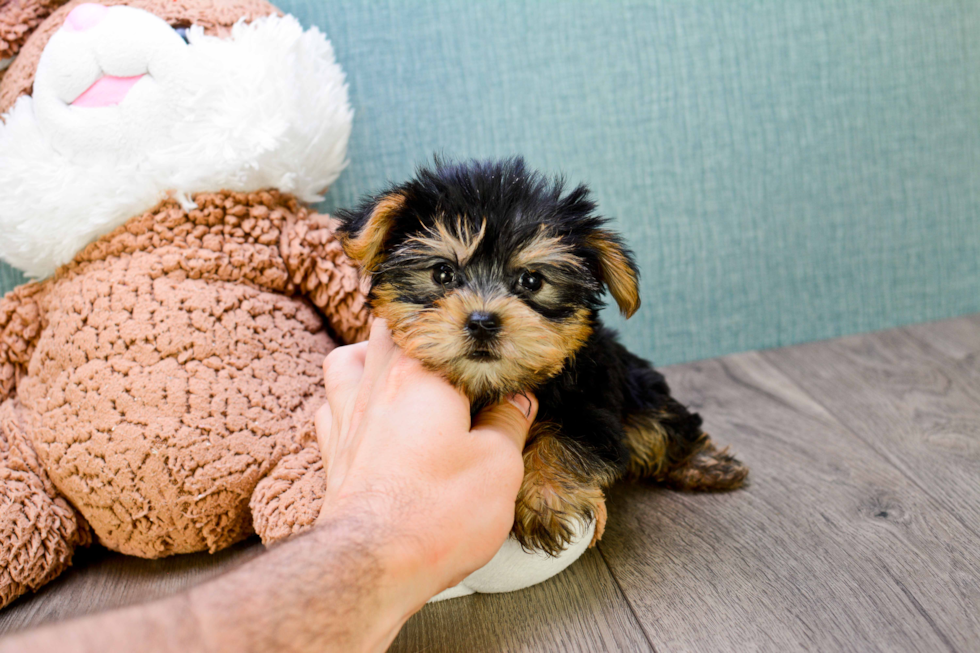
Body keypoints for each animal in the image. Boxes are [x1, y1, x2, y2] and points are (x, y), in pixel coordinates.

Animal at [338, 159, 752, 556]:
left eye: (532, 281)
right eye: (442, 273)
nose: (483, 322)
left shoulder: (591, 401)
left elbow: (565, 436)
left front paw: (544, 500)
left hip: (636, 387)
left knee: (663, 423)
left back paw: (705, 464)